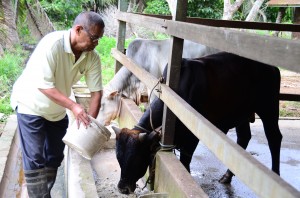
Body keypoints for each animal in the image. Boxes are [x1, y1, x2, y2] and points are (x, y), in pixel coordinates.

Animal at [111, 51, 282, 194]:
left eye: (136, 158)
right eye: (118, 158)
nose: (122, 188)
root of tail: (271, 66)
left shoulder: (191, 138)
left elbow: (185, 162)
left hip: (268, 107)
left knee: (274, 137)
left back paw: (275, 173)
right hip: (241, 114)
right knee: (244, 137)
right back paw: (227, 176)